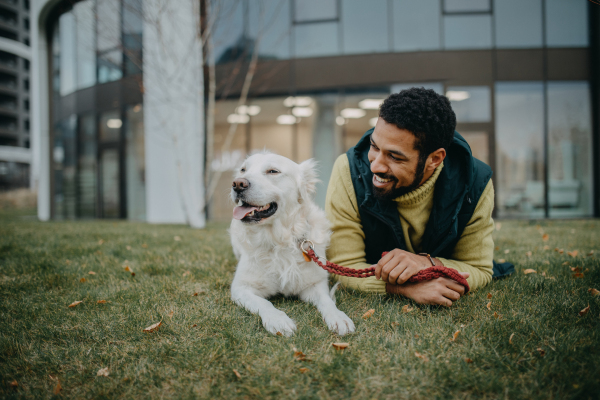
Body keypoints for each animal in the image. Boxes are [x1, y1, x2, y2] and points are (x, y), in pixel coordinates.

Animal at [227, 152, 354, 336]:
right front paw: (278, 320)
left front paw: (338, 317)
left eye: (273, 171)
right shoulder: (241, 287)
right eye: (243, 169)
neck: (279, 240)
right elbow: (264, 303)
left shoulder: (315, 284)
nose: (238, 184)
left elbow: (327, 302)